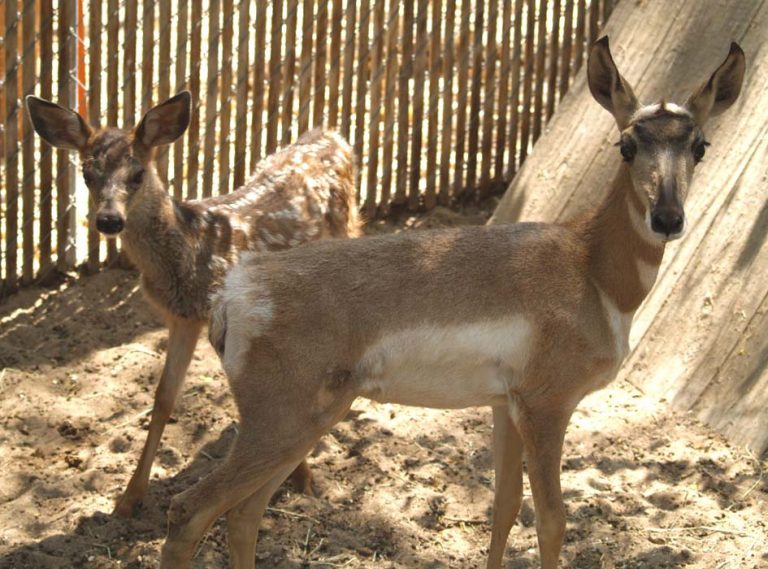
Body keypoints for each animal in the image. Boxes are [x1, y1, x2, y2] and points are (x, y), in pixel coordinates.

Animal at [25, 91, 360, 518]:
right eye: (86, 174)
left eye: (137, 174)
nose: (109, 220)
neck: (189, 247)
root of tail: (333, 135)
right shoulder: (181, 319)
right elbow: (163, 399)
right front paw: (129, 498)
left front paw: (303, 478)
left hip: (347, 228)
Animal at [158, 38, 745, 568]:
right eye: (626, 144)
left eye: (700, 146)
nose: (667, 218)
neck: (590, 268)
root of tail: (234, 293)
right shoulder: (547, 406)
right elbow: (552, 520)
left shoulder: (507, 407)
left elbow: (504, 508)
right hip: (281, 424)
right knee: (189, 510)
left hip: (306, 424)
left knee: (242, 514)